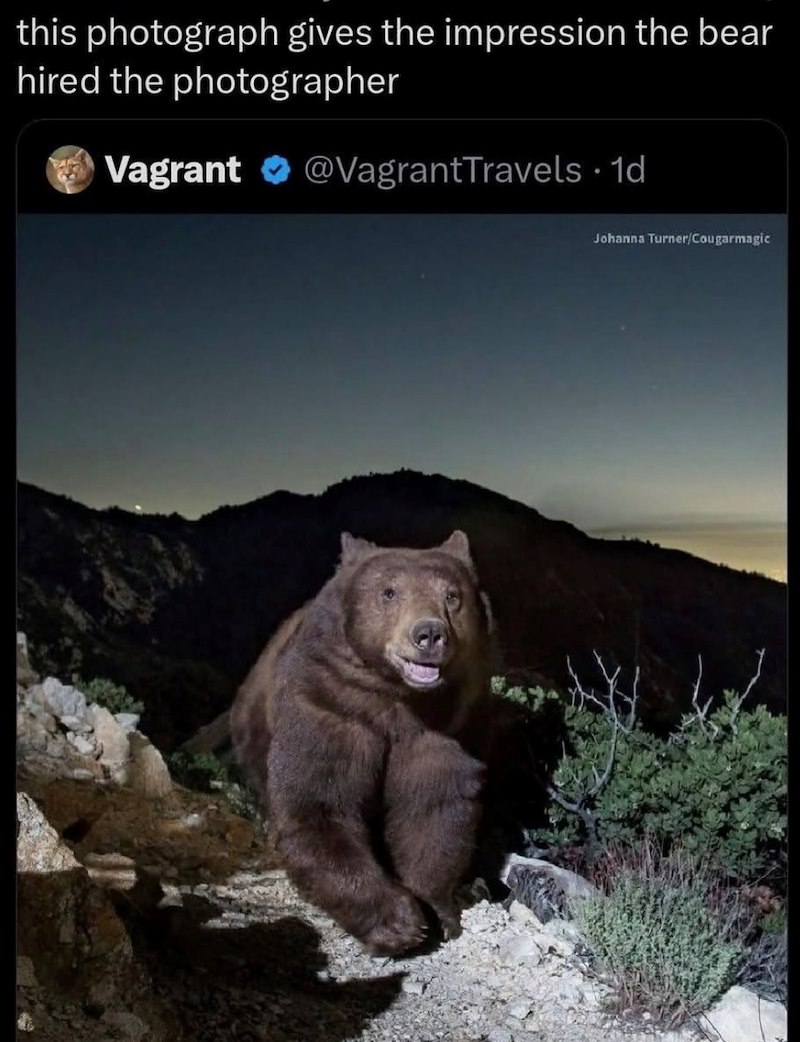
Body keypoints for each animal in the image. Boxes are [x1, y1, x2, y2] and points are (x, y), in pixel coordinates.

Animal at [230, 530, 496, 955]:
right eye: (389, 592)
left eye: (453, 596)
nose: (429, 633)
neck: (399, 700)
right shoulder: (330, 707)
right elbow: (319, 806)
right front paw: (399, 922)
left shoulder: (447, 730)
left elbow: (432, 811)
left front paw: (439, 909)